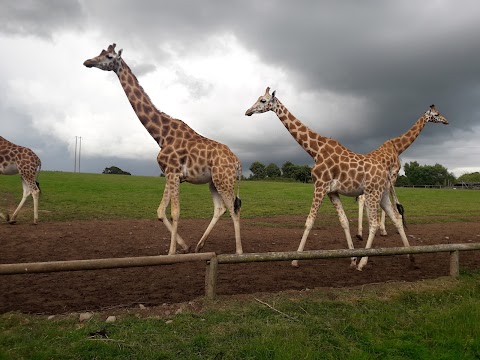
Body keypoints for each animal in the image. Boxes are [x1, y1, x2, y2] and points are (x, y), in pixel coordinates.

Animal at [83, 43, 244, 256]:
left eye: (109, 56)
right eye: (99, 52)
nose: (87, 62)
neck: (161, 135)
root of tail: (237, 162)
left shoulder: (174, 173)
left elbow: (175, 212)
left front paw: (171, 252)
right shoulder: (170, 174)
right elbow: (160, 212)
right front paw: (184, 246)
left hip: (224, 179)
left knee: (233, 209)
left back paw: (239, 251)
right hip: (213, 181)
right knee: (221, 209)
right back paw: (199, 246)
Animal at [246, 88, 448, 270]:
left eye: (263, 101)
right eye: (258, 98)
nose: (248, 111)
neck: (315, 150)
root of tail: (385, 173)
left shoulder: (319, 186)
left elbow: (309, 222)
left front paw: (295, 260)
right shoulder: (332, 192)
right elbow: (343, 221)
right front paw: (351, 258)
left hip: (373, 193)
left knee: (374, 223)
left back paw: (364, 262)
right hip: (382, 193)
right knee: (397, 218)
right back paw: (411, 257)